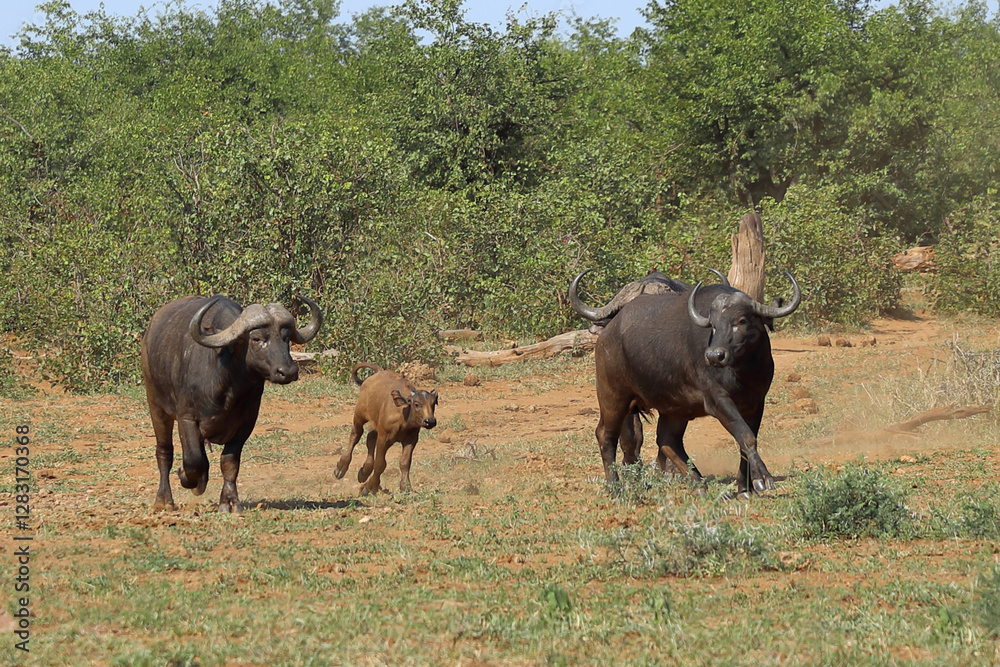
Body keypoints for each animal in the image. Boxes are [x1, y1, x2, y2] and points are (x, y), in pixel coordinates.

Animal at [141, 294, 322, 513]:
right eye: (257, 338)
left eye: (286, 338)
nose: (287, 371)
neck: (226, 384)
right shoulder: (187, 418)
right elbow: (193, 460)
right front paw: (187, 477)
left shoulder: (246, 423)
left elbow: (229, 461)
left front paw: (229, 501)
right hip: (156, 406)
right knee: (164, 452)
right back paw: (164, 500)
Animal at [569, 270, 800, 497]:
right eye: (713, 325)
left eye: (741, 321)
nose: (714, 356)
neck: (743, 370)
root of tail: (606, 336)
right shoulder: (718, 400)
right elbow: (746, 436)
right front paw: (763, 478)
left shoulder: (756, 402)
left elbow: (745, 439)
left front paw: (746, 488)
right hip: (613, 398)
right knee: (606, 435)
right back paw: (616, 487)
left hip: (675, 408)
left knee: (667, 440)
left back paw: (698, 484)